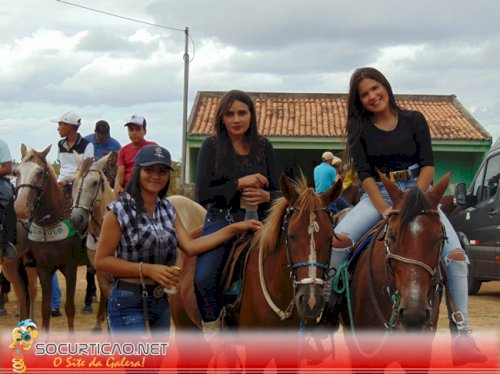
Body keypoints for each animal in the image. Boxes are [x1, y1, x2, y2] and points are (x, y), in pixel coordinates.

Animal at [13, 144, 84, 334]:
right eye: (16, 172)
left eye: (39, 172)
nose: (21, 208)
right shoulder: (43, 268)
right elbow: (45, 309)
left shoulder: (70, 267)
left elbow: (70, 308)